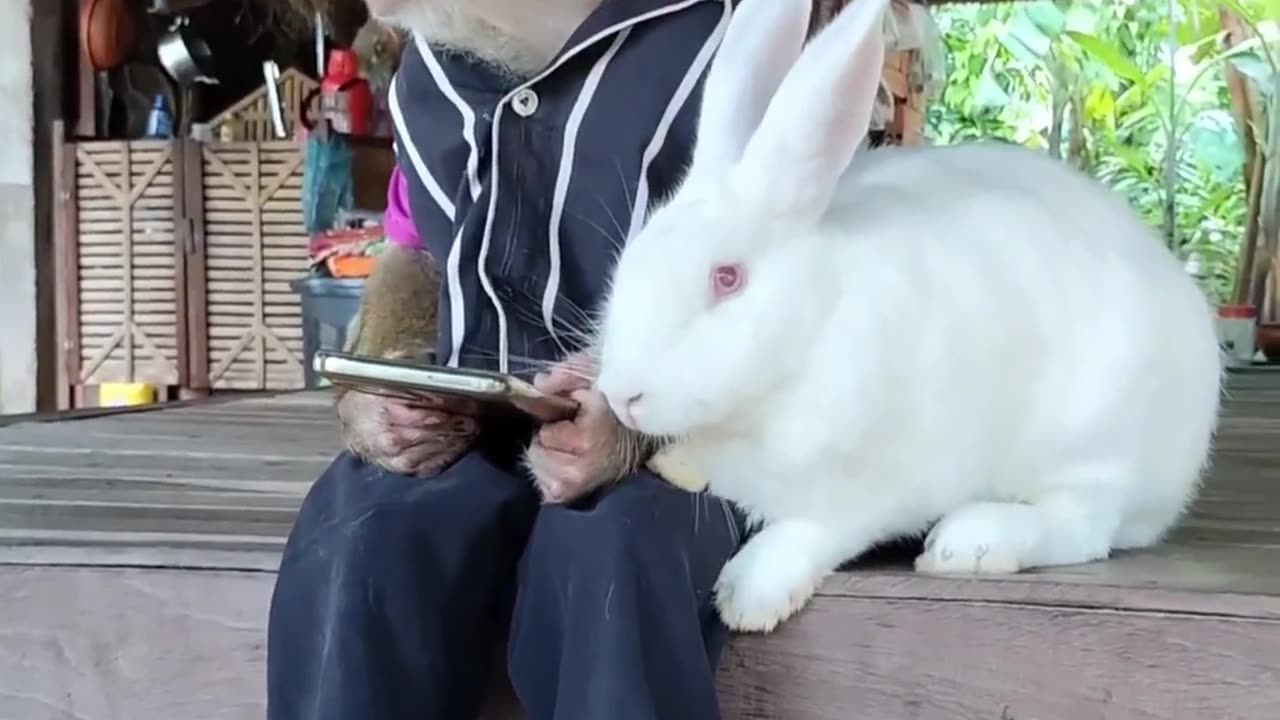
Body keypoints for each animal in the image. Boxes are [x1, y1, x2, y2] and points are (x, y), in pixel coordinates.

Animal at [593, 0, 1223, 630]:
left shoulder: (869, 487)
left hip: (1092, 438)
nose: (622, 395)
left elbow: (814, 531)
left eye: (727, 279)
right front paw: (678, 466)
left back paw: (968, 544)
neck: (807, 336)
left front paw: (750, 598)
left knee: (1081, 525)